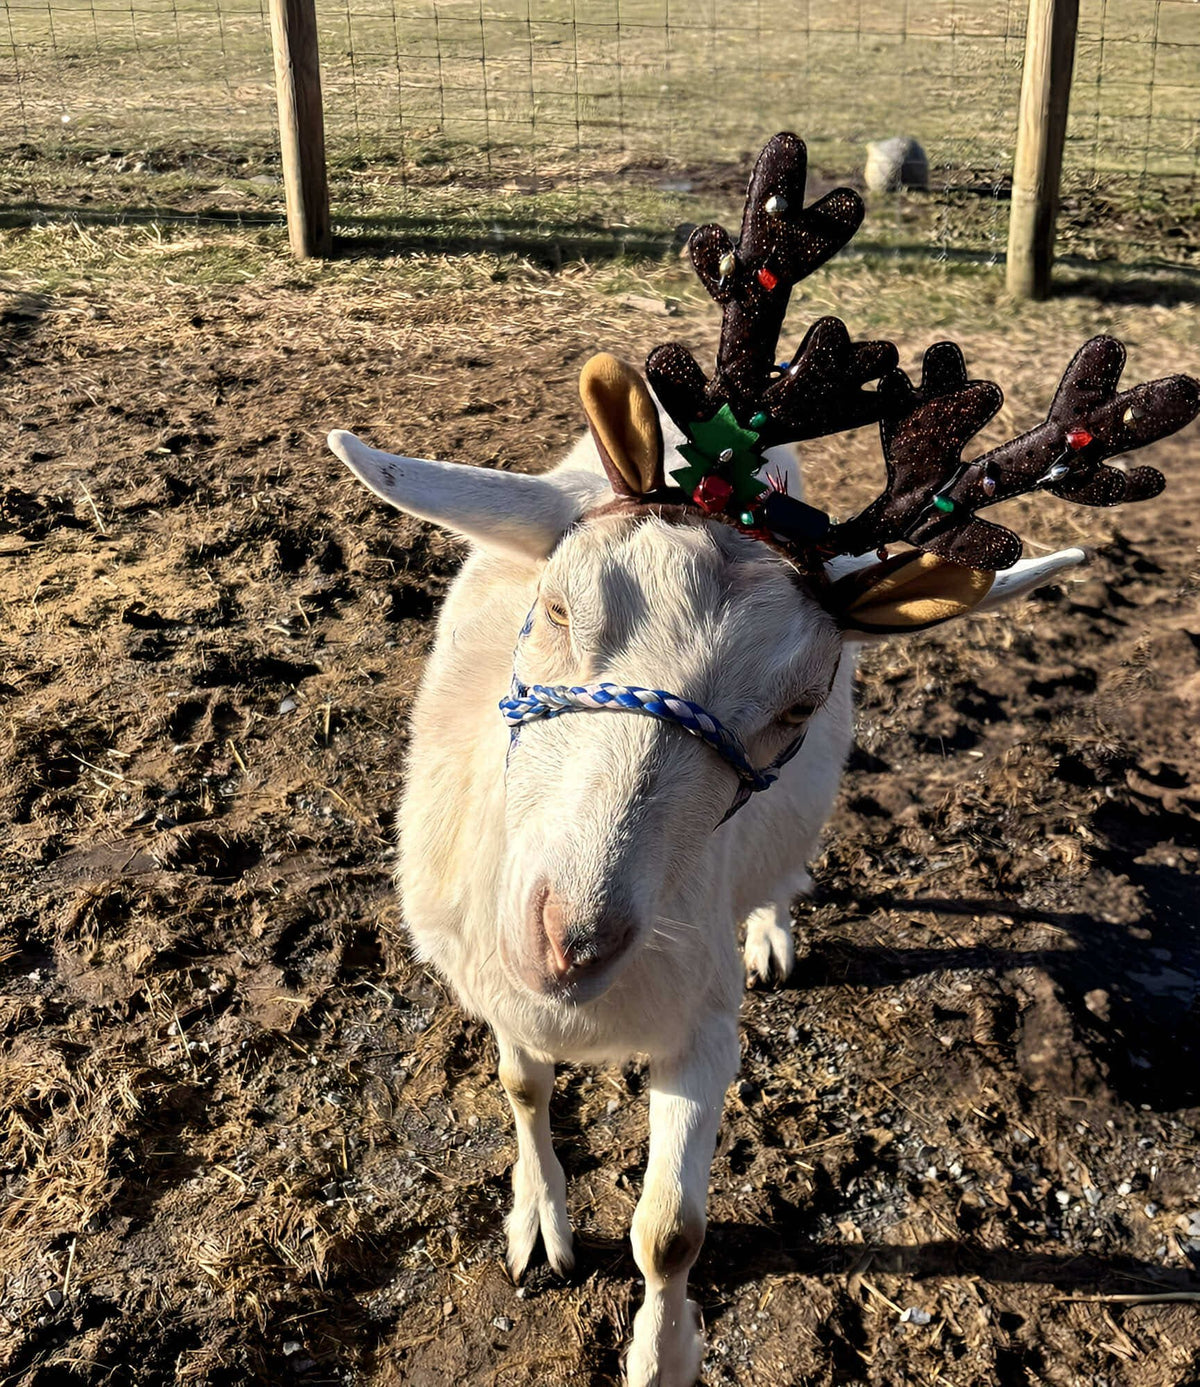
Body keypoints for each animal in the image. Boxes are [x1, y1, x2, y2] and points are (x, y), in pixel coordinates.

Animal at [328, 134, 1199, 1387]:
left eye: (799, 701)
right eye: (557, 608)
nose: (569, 936)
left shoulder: (702, 1017)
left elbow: (672, 1231)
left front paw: (663, 1355)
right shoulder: (491, 978)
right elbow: (520, 1082)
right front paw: (538, 1227)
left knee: (785, 870)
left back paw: (776, 927)